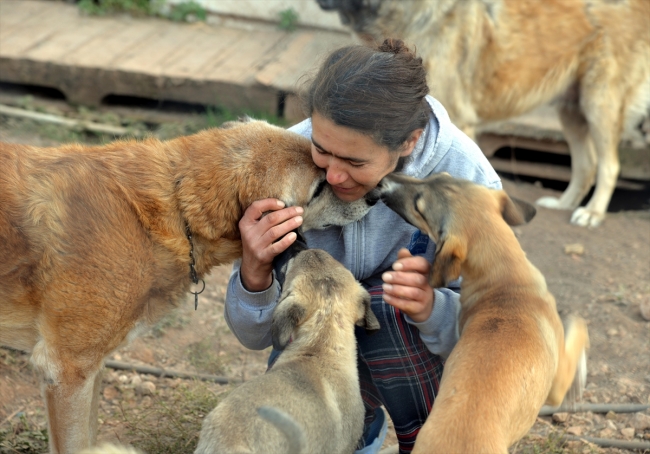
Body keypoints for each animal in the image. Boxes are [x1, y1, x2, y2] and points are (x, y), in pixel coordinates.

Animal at [316, 0, 648, 227]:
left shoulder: (456, 115)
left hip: (599, 101)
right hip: (572, 108)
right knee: (587, 163)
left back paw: (592, 212)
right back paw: (563, 203)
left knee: (609, 165)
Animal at [378, 172, 588, 452]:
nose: (384, 180)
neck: (504, 277)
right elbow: (579, 328)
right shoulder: (557, 384)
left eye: (439, 176)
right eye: (419, 208)